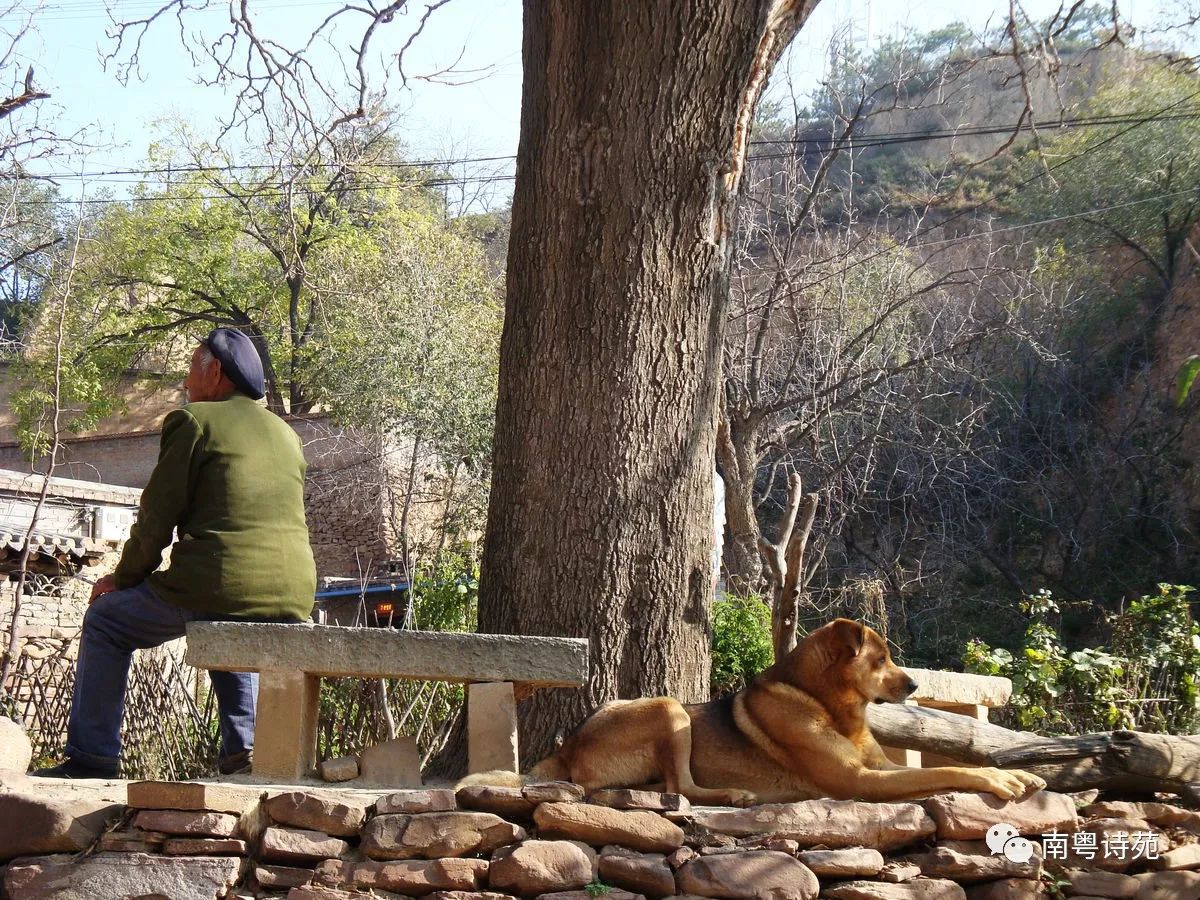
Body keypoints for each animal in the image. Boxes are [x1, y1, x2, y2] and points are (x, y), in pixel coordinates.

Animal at [463, 619, 1046, 801]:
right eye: (880, 659)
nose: (916, 683)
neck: (824, 704)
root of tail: (567, 748)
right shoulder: (859, 781)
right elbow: (947, 771)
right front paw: (1003, 782)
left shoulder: (877, 767)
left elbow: (958, 764)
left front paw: (1019, 774)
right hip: (670, 708)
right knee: (683, 789)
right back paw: (735, 794)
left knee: (668, 787)